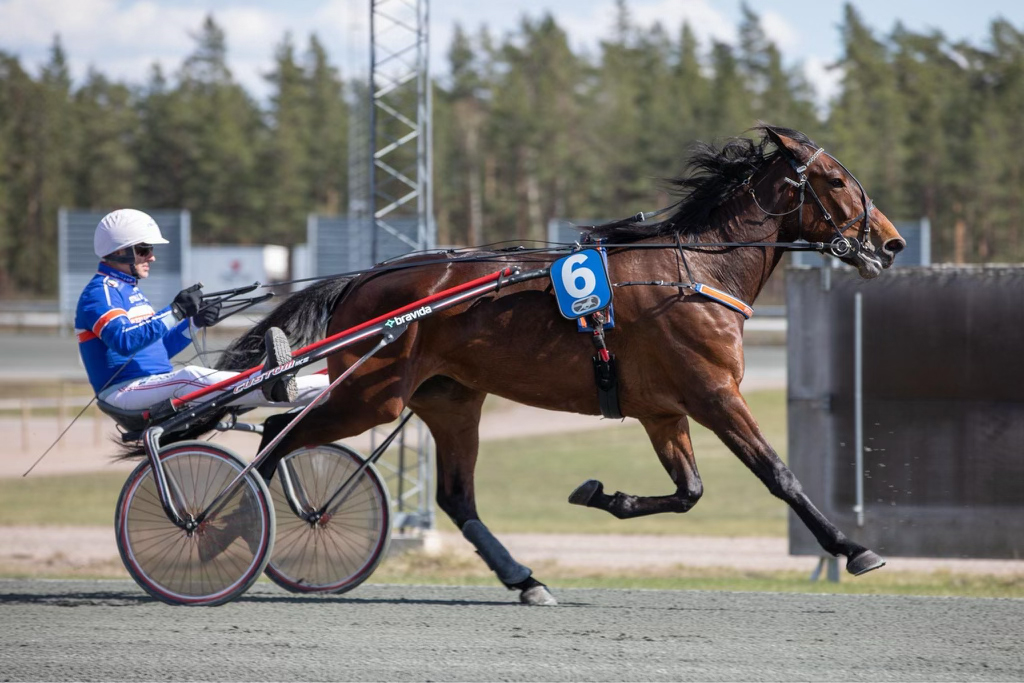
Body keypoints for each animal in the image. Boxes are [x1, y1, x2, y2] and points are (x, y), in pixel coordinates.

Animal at [214, 125, 905, 606]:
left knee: (455, 496)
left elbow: (689, 492)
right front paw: (854, 548)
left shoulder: (664, 411)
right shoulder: (714, 394)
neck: (695, 272)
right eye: (836, 180)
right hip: (371, 394)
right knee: (276, 438)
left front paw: (602, 493)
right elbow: (778, 475)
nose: (892, 242)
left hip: (449, 398)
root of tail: (363, 278)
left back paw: (526, 581)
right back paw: (227, 526)